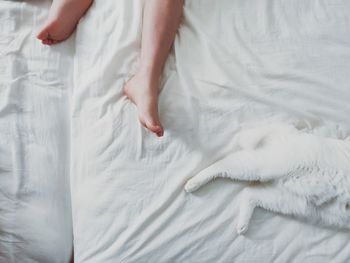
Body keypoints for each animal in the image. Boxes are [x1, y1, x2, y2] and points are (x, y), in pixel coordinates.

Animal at [183, 124, 350, 235]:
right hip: (259, 167)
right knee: (223, 164)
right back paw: (193, 183)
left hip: (292, 203)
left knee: (249, 192)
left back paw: (242, 226)